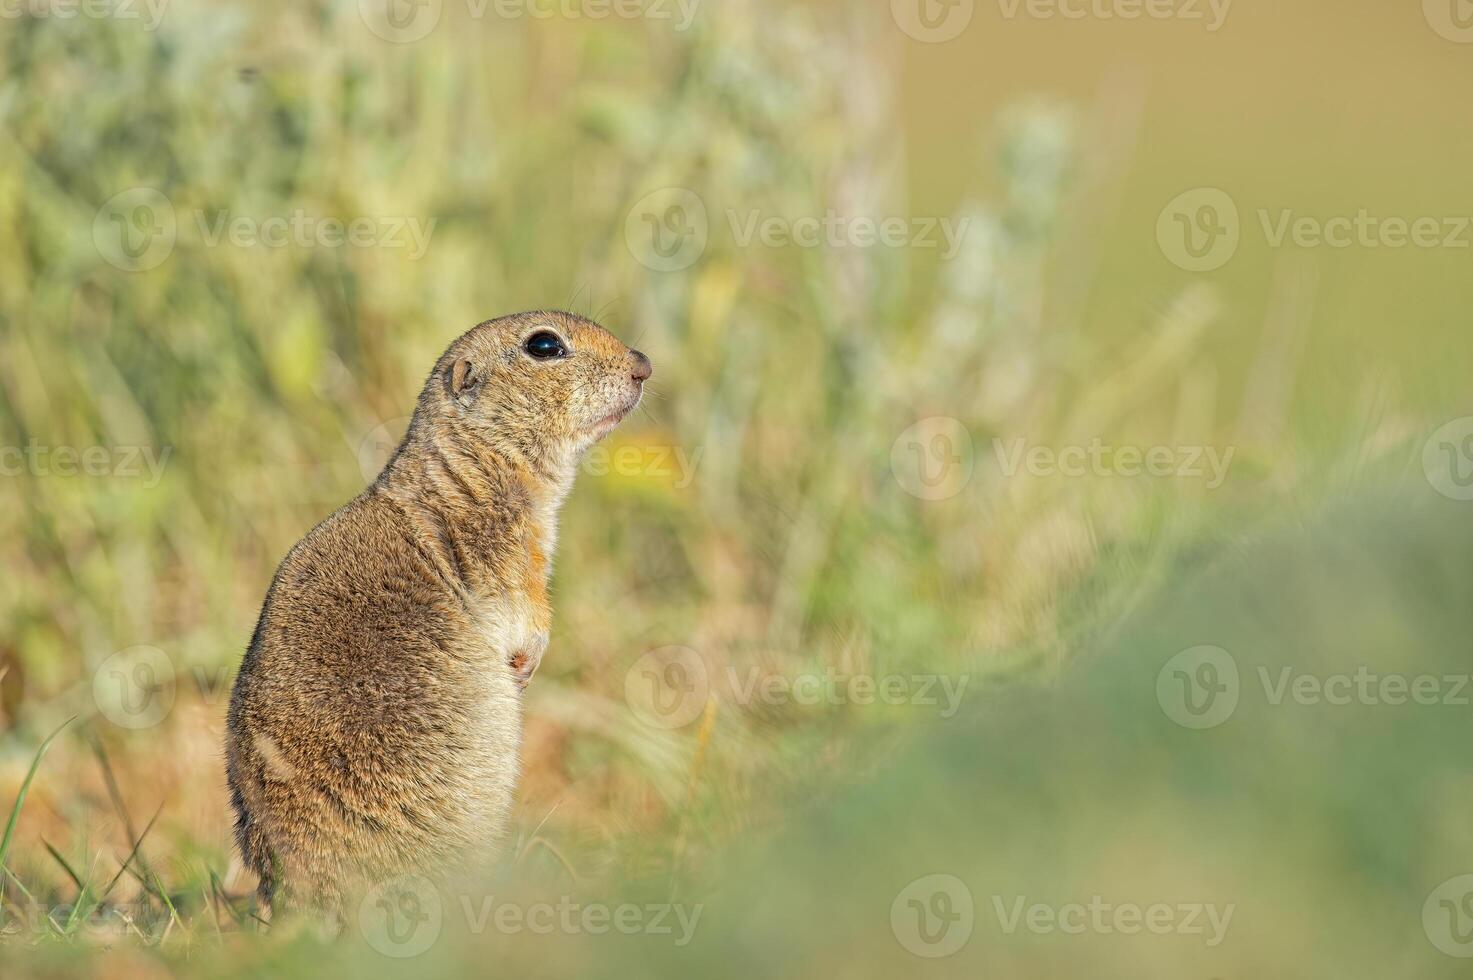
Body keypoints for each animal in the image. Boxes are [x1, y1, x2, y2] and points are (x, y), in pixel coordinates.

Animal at [222, 310, 651, 907]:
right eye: (544, 346)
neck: (476, 463)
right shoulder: (501, 553)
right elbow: (522, 611)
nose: (644, 364)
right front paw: (528, 661)